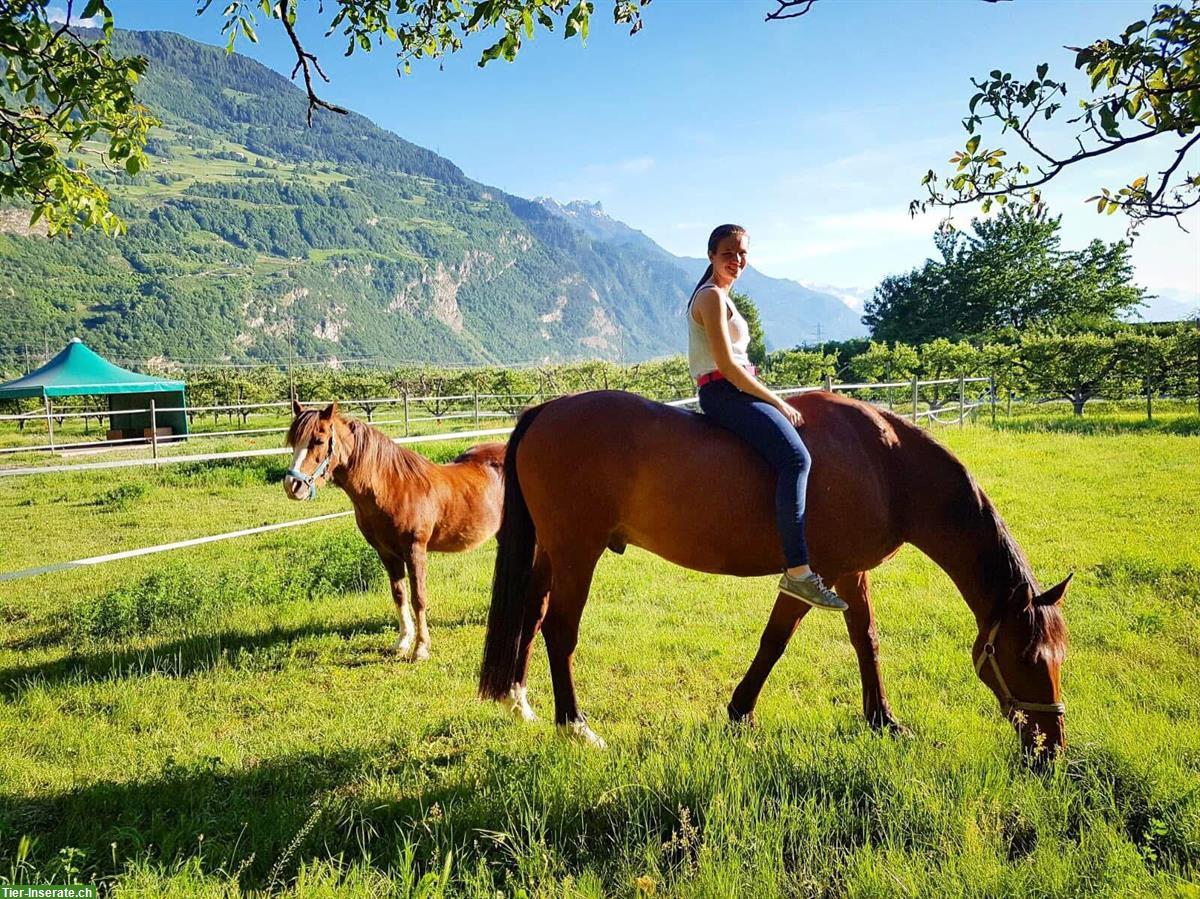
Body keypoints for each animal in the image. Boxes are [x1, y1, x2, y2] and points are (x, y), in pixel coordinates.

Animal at [284, 399, 506, 661]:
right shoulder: (387, 554)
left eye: (318, 440)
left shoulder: (415, 551)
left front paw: (421, 648)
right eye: (292, 441)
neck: (392, 487)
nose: (292, 486)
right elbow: (399, 595)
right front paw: (402, 643)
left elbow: (418, 597)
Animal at [478, 390, 1070, 756]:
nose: (1052, 745)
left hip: (554, 553)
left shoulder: (850, 574)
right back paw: (575, 727)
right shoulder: (811, 576)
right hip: (578, 553)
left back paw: (518, 702)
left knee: (531, 615)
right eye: (1026, 658)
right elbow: (775, 641)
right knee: (560, 631)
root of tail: (545, 410)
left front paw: (882, 719)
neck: (886, 466)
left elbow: (866, 640)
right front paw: (740, 712)